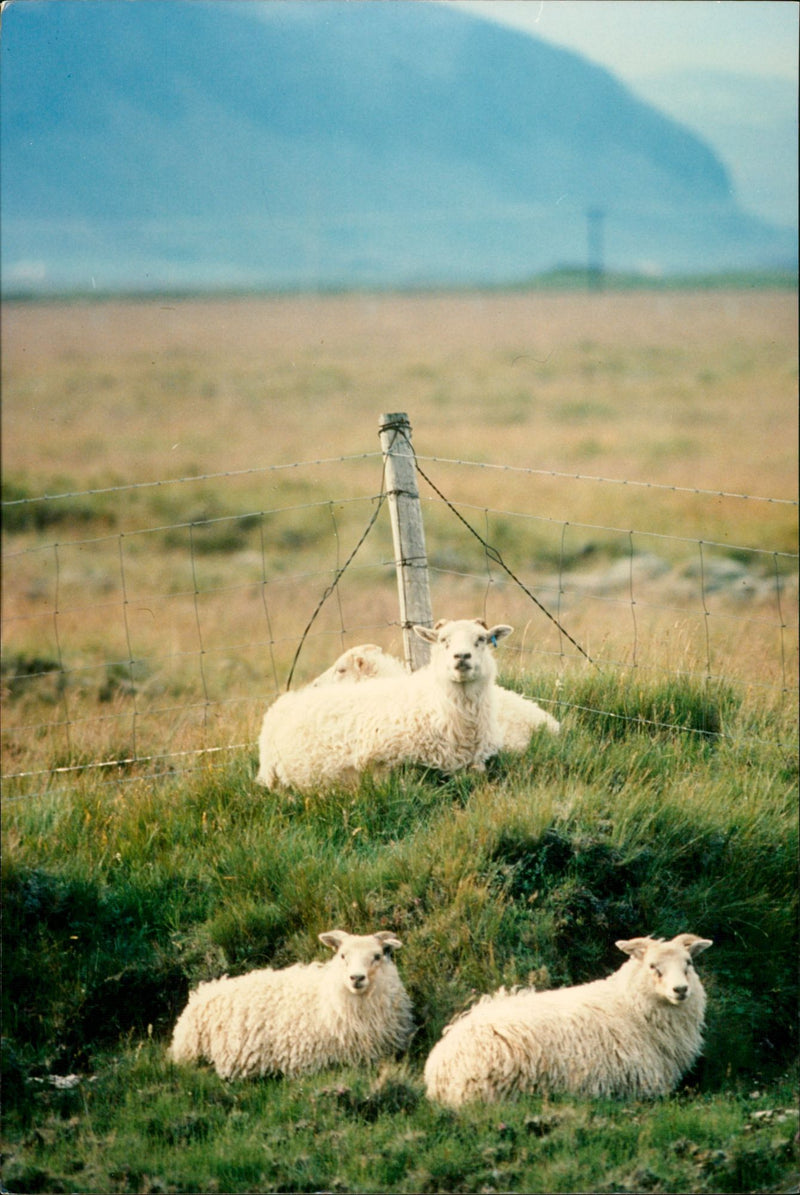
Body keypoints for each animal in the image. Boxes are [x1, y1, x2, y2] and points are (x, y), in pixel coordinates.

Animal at [255, 616, 511, 793]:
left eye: (481, 639)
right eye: (443, 641)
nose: (462, 657)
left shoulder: (474, 764)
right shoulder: (381, 766)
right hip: (274, 777)